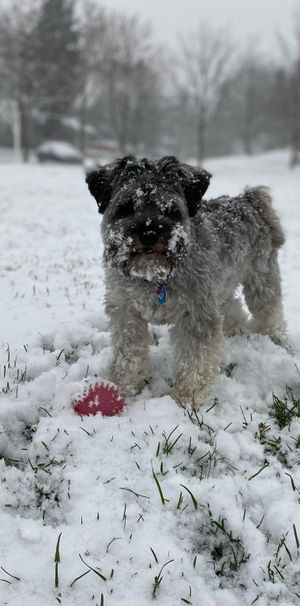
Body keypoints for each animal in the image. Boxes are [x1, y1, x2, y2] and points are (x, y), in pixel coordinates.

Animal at [85, 157, 286, 408]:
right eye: (126, 207)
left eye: (170, 210)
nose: (149, 234)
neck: (155, 277)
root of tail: (248, 199)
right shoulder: (125, 310)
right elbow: (128, 353)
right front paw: (121, 385)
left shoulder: (197, 313)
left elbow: (194, 359)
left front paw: (186, 397)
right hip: (221, 287)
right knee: (234, 309)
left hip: (260, 278)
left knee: (269, 309)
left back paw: (274, 337)